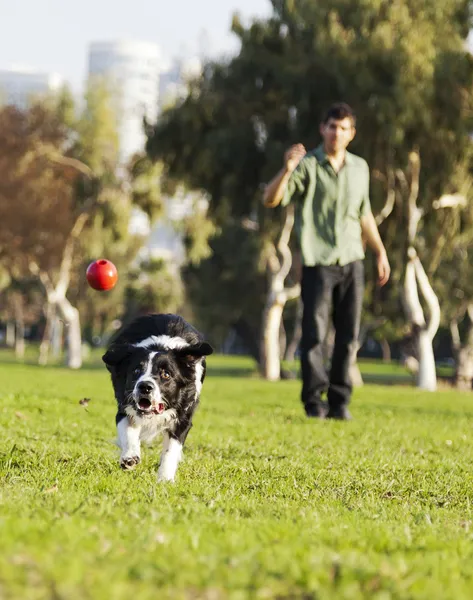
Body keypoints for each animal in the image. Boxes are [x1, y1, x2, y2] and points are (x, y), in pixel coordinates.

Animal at [103, 314, 214, 482]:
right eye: (136, 370)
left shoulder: (183, 417)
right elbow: (128, 431)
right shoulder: (124, 406)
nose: (145, 387)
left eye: (166, 374)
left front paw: (165, 478)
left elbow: (171, 449)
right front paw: (129, 457)